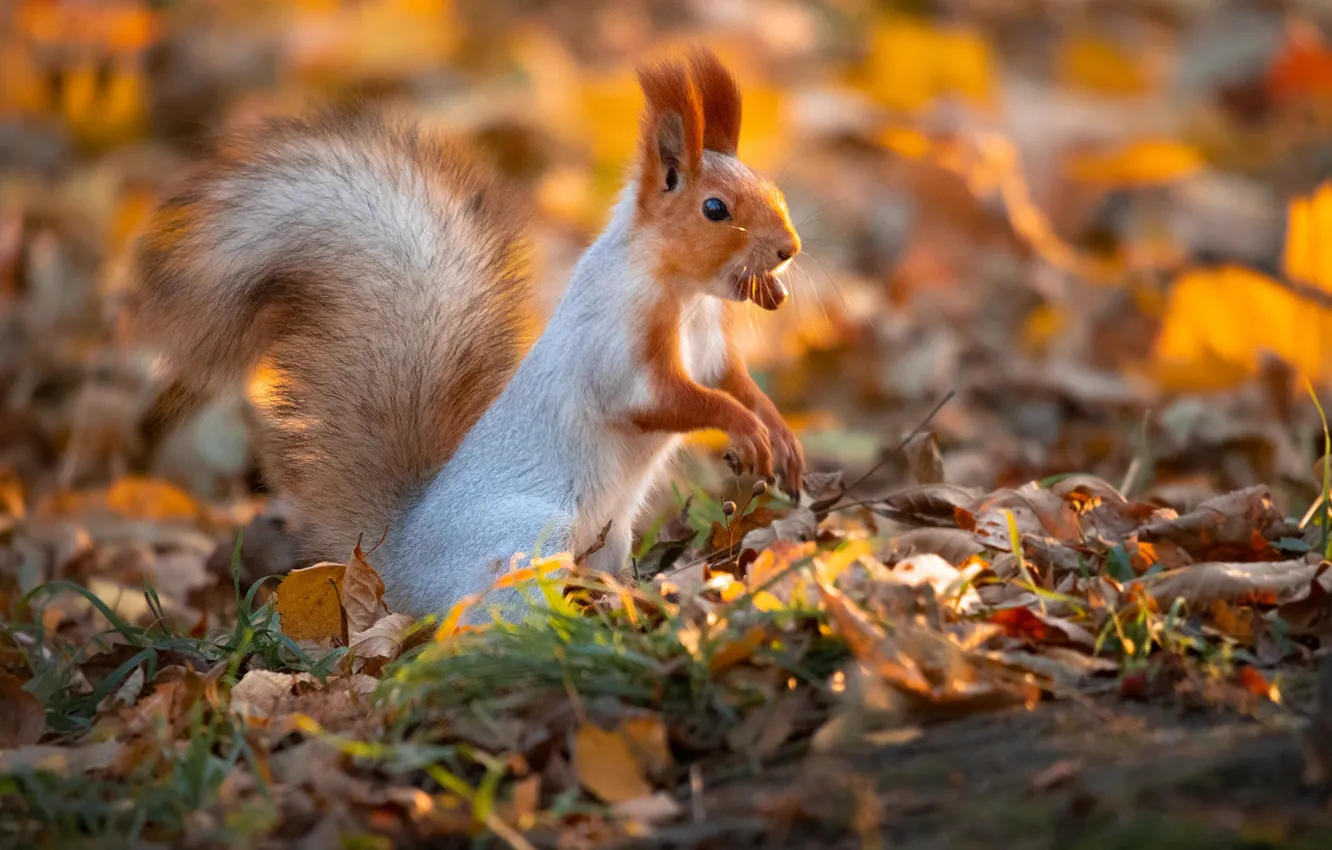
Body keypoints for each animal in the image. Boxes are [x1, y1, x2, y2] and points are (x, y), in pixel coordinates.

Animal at [128, 49, 804, 619]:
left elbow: (729, 380)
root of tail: (395, 564)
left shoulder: (709, 344)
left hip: (610, 533)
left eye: (773, 188)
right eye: (714, 209)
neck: (685, 295)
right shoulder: (616, 346)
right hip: (526, 539)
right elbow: (668, 399)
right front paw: (742, 426)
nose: (788, 249)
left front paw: (775, 429)